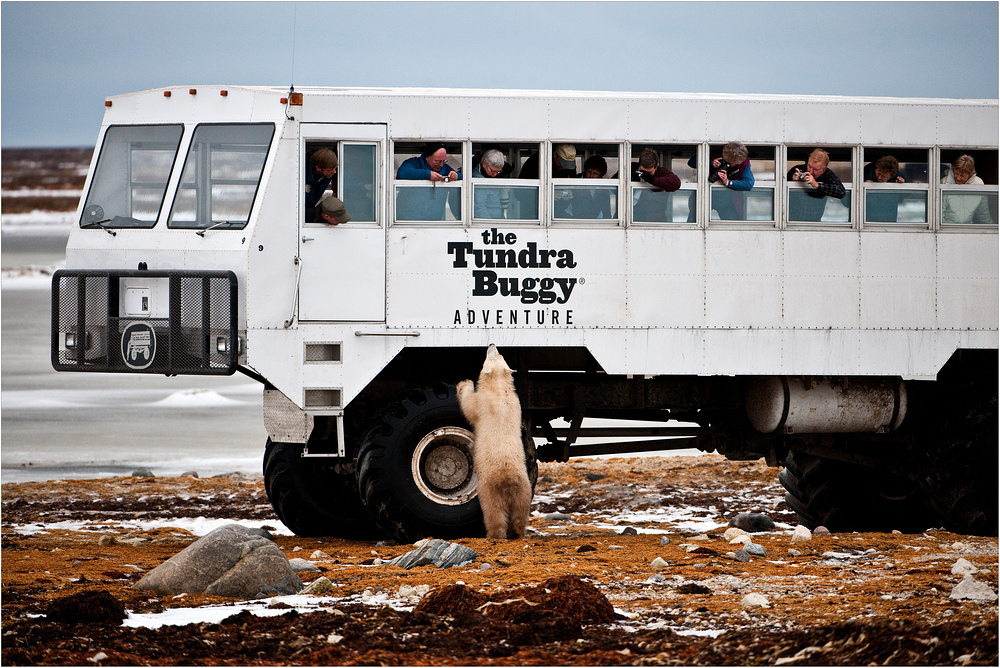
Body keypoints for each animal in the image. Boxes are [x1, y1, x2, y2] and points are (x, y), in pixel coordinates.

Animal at [458, 344, 532, 536]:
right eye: (499, 354)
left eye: (491, 355)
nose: (491, 344)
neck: (499, 390)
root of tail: (508, 481)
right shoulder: (516, 403)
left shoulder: (481, 403)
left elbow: (468, 405)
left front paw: (464, 383)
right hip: (524, 490)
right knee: (520, 512)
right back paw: (517, 532)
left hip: (488, 488)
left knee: (494, 512)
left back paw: (494, 534)